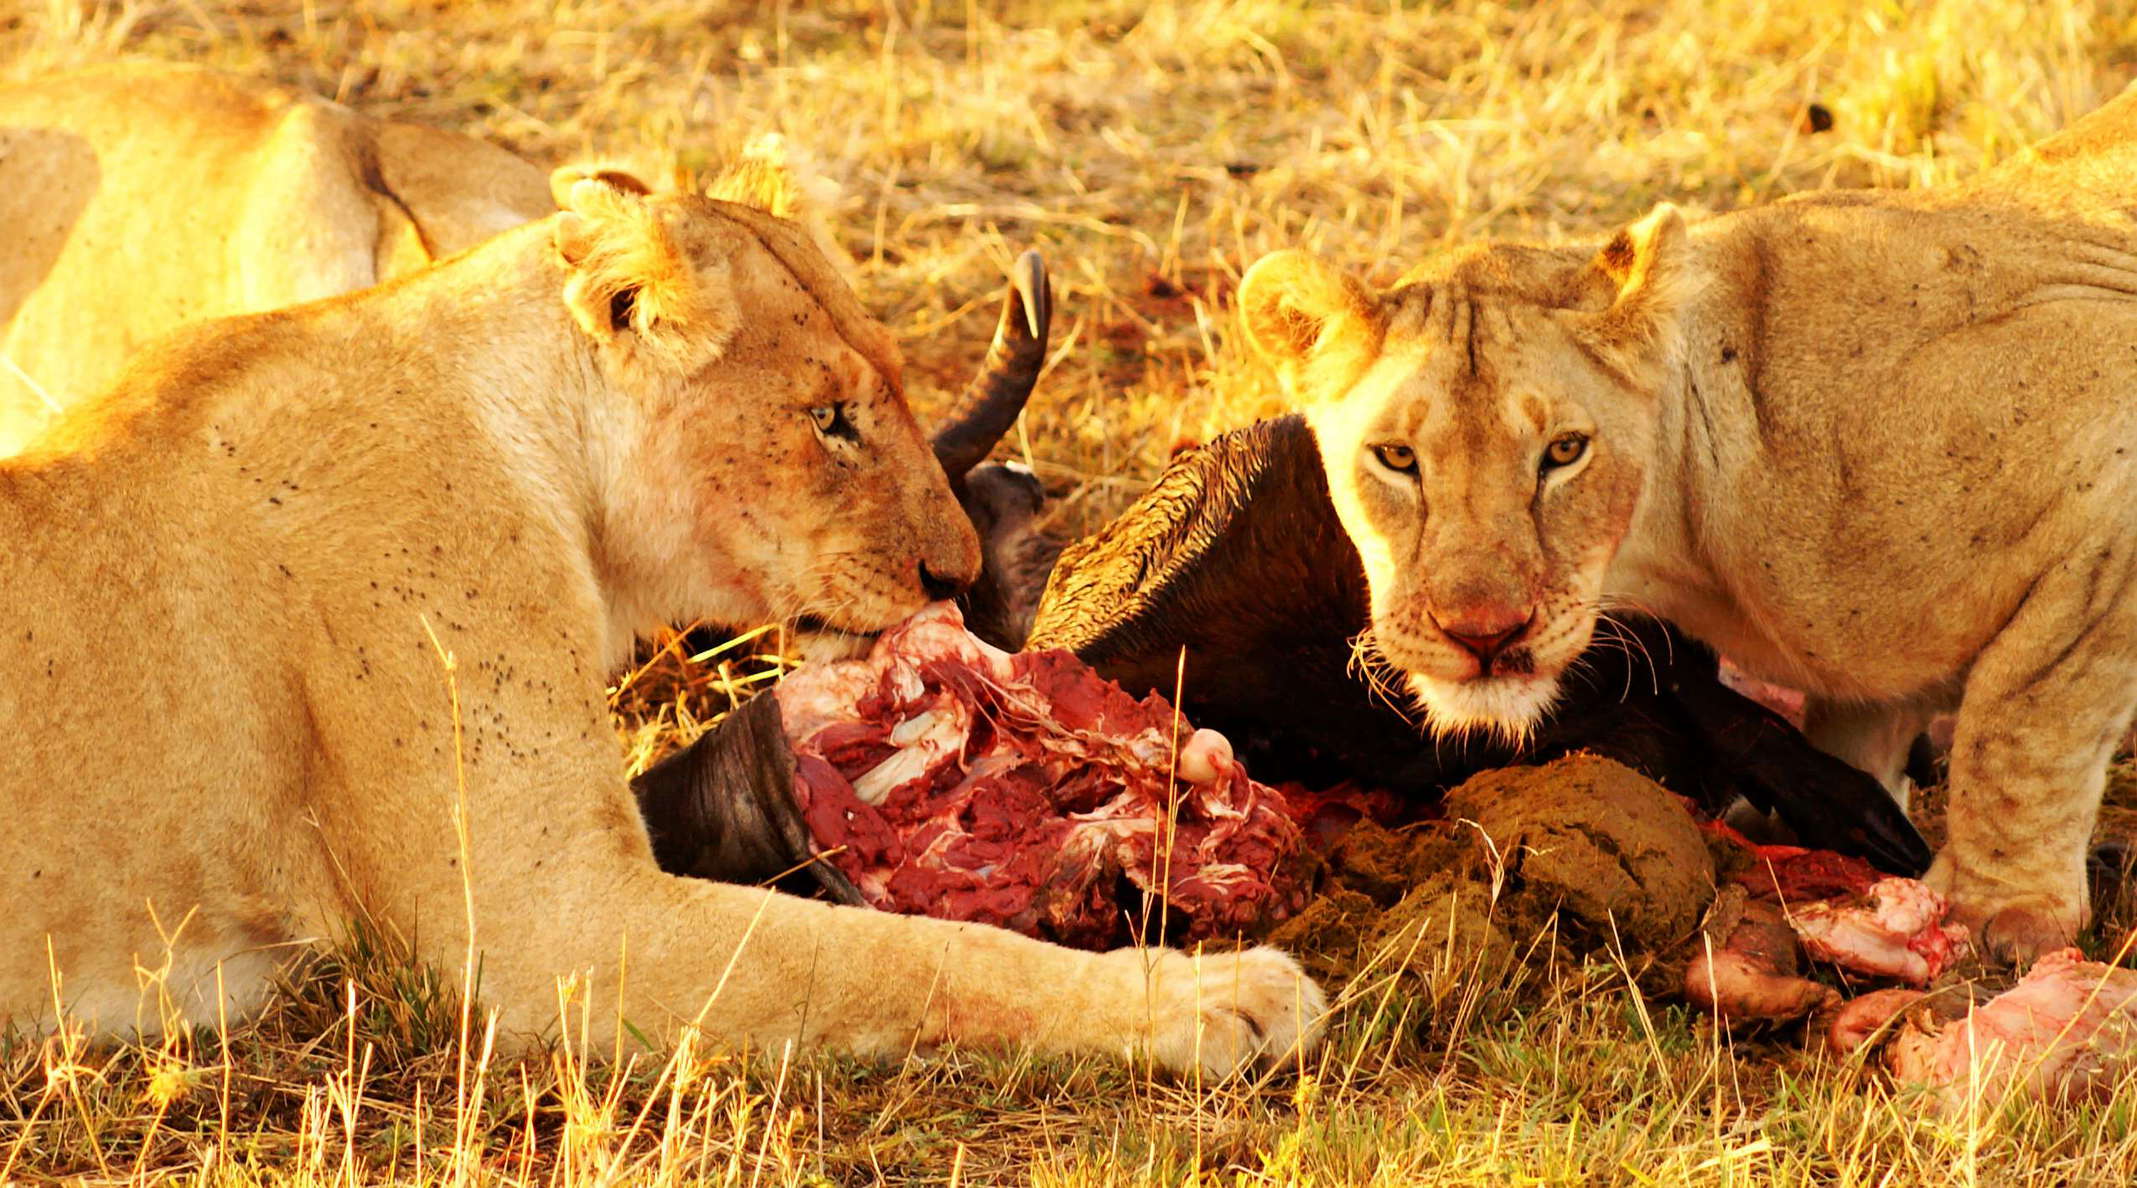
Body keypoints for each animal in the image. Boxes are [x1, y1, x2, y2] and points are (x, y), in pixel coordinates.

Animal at [1239, 83, 2137, 965]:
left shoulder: (2105, 437)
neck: (1679, 546)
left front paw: (1998, 909)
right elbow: (1871, 724)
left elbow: (2021, 722)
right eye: (1396, 457)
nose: (1483, 634)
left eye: (1564, 451)